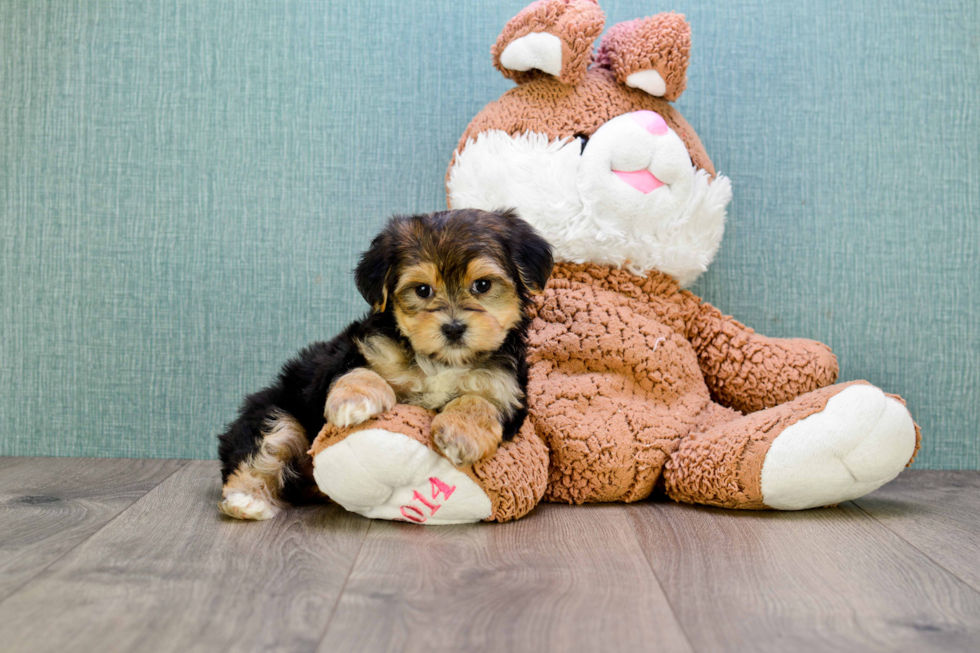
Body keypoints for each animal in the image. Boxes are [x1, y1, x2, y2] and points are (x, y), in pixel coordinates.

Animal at [216, 209, 552, 520]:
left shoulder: (506, 387)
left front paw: (459, 434)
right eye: (422, 290)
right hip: (276, 408)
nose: (454, 328)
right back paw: (246, 501)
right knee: (266, 446)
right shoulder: (360, 352)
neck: (441, 361)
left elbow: (481, 401)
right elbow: (357, 371)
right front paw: (354, 401)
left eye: (482, 285)